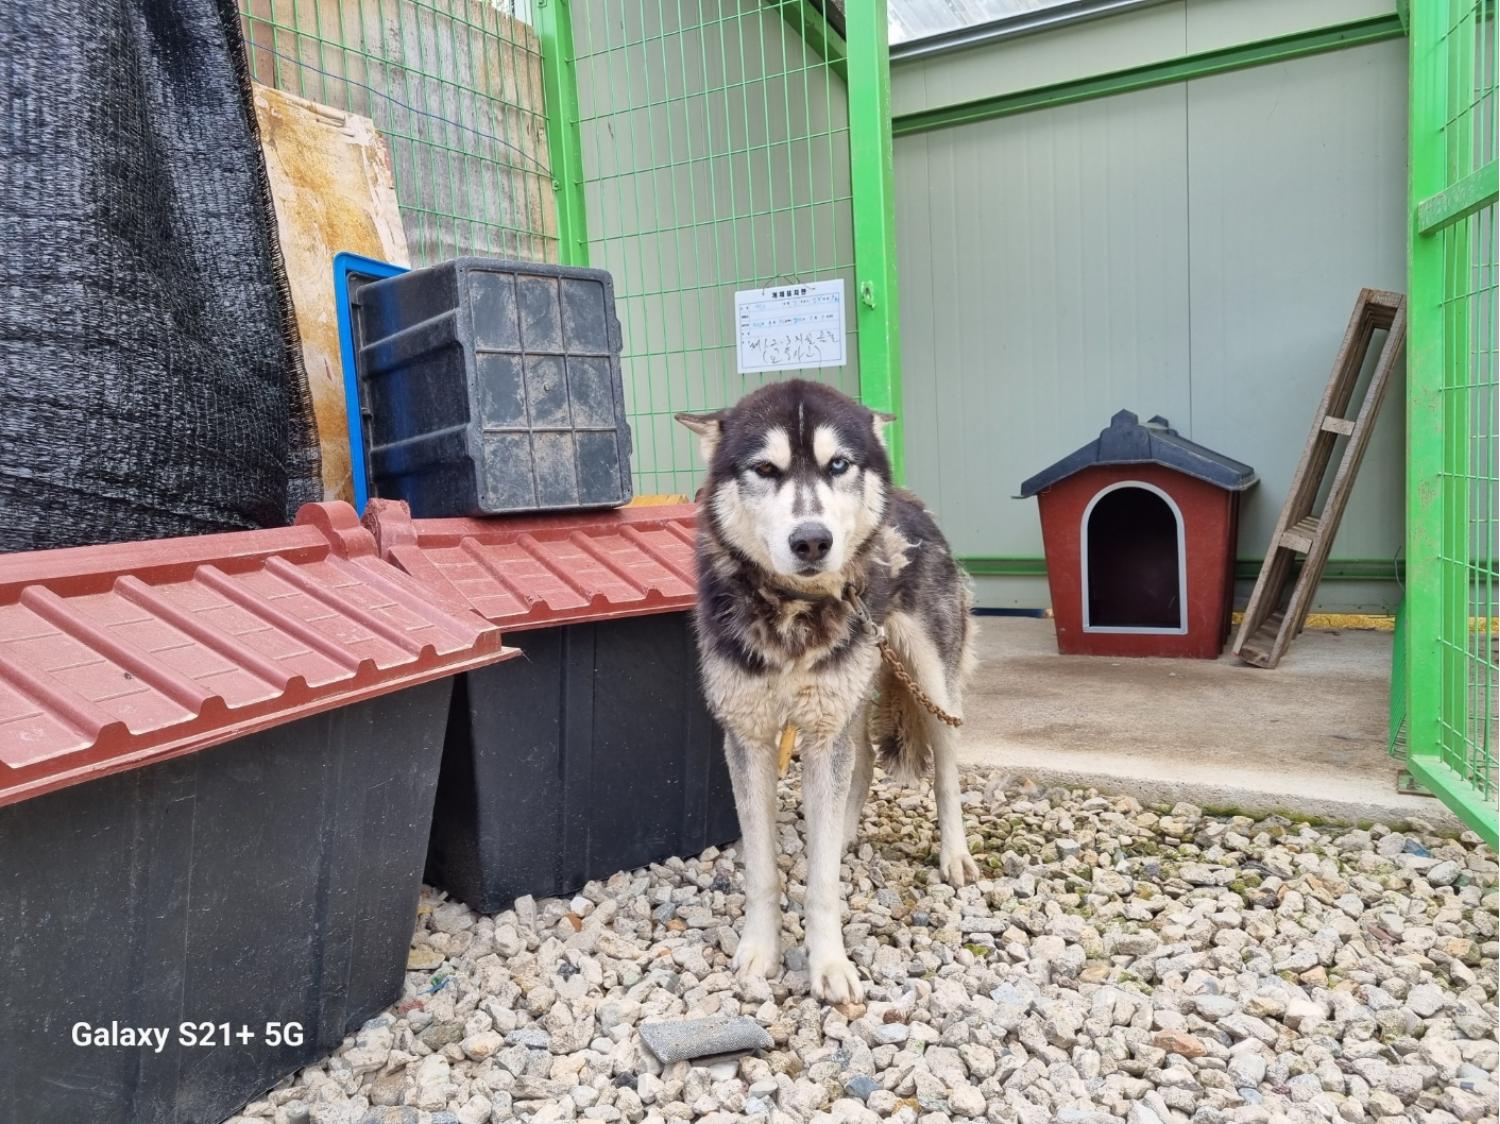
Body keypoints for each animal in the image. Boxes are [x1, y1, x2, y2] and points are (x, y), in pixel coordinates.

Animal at [678, 376, 978, 1002]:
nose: (812, 540)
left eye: (837, 464)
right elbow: (762, 871)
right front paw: (759, 952)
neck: (794, 612)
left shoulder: (822, 728)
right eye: (765, 469)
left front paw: (830, 965)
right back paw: (838, 834)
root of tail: (912, 502)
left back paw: (953, 855)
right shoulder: (750, 738)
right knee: (861, 759)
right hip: (856, 691)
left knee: (944, 772)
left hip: (933, 687)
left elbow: (820, 886)